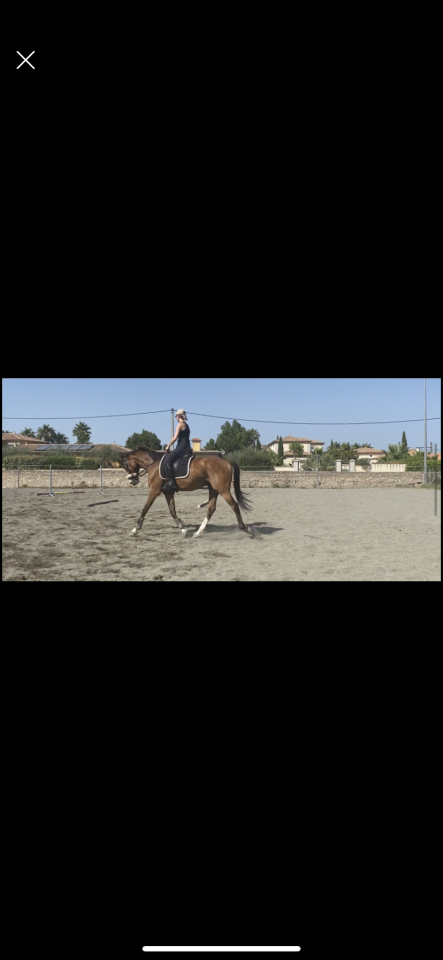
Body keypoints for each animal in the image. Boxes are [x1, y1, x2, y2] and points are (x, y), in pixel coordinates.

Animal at [120, 447, 255, 538]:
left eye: (125, 464)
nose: (132, 481)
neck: (154, 464)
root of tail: (226, 461)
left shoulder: (154, 491)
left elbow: (145, 508)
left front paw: (135, 529)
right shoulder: (168, 492)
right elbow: (172, 511)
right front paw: (183, 529)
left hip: (223, 490)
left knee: (234, 505)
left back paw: (246, 529)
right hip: (213, 489)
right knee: (211, 508)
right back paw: (198, 532)